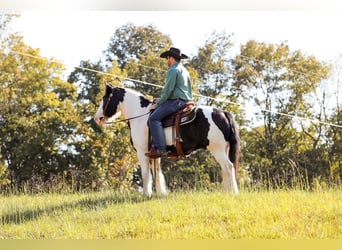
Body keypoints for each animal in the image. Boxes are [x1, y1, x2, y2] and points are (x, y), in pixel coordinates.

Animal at [93, 85, 240, 196]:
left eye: (105, 98)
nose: (97, 118)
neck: (140, 116)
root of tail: (223, 113)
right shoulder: (155, 154)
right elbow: (157, 173)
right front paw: (160, 193)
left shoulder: (141, 152)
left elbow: (146, 174)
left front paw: (146, 195)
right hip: (223, 149)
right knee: (226, 169)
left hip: (217, 149)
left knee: (228, 167)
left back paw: (232, 192)